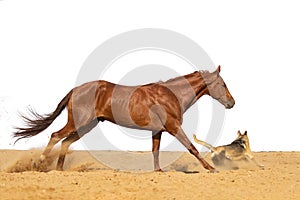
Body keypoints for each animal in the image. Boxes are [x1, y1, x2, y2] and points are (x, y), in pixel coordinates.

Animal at [14, 65, 234, 172]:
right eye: (223, 84)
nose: (232, 103)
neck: (171, 95)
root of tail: (76, 90)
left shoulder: (157, 130)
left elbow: (155, 151)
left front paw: (158, 171)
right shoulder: (173, 126)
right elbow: (192, 147)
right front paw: (211, 168)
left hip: (87, 126)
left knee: (66, 142)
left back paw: (59, 170)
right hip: (79, 122)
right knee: (56, 135)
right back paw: (39, 164)